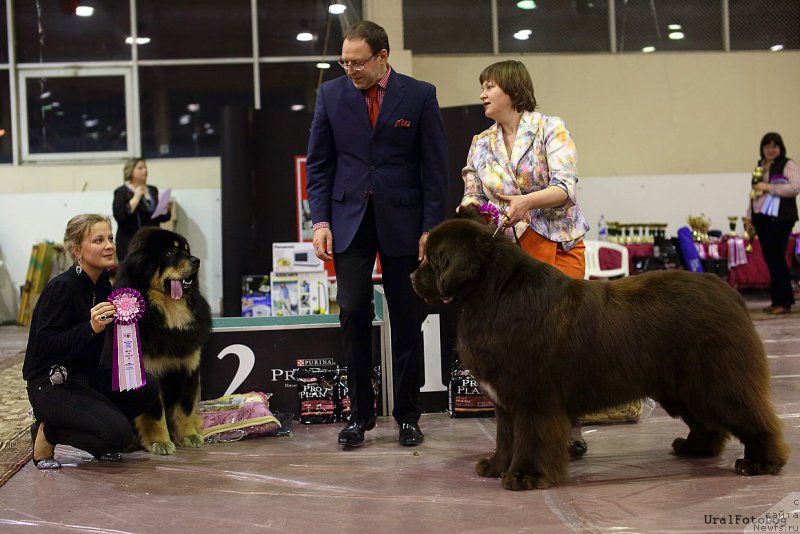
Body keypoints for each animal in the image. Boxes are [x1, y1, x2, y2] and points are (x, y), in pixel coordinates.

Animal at [412, 207, 788, 492]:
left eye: (434, 261)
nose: (412, 276)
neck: (493, 293)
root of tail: (727, 292)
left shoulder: (533, 397)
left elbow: (530, 437)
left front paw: (524, 476)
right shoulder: (506, 400)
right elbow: (506, 437)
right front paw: (495, 466)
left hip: (716, 381)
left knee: (752, 416)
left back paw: (761, 462)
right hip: (683, 388)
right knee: (708, 422)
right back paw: (694, 448)